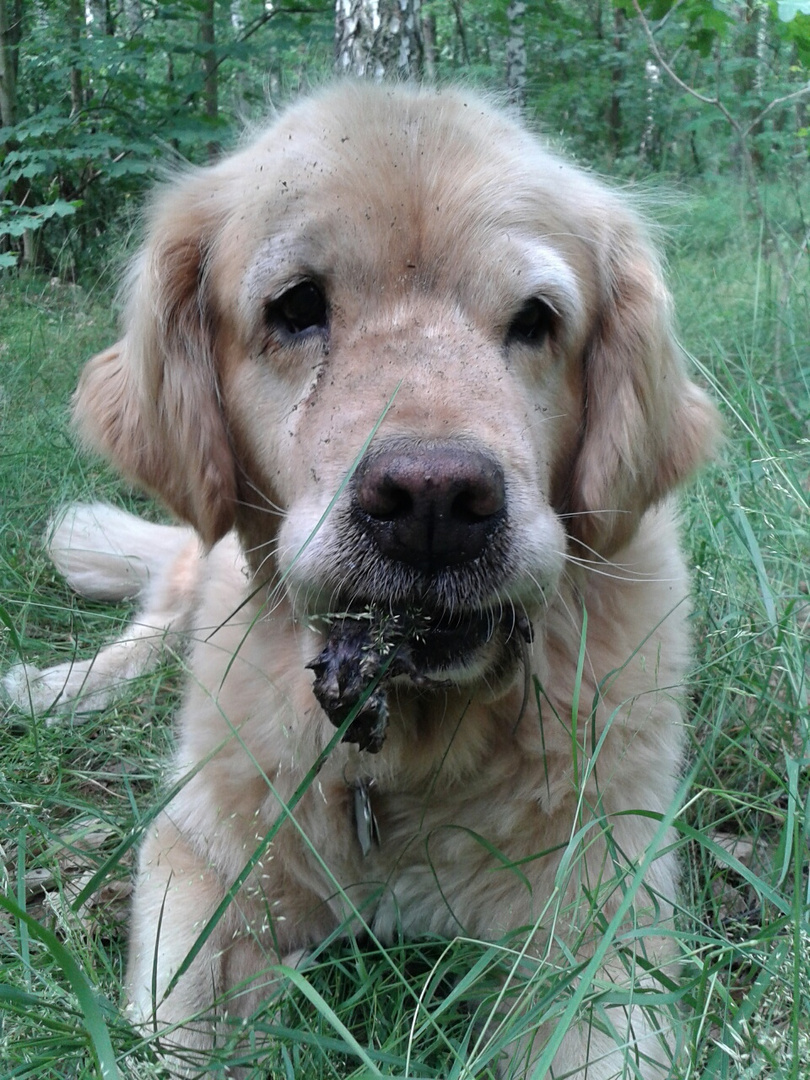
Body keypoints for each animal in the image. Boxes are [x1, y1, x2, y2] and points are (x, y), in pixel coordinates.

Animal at [4, 82, 717, 1071]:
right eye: (297, 305)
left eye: (536, 319)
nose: (433, 502)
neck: (409, 747)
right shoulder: (196, 861)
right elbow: (173, 1032)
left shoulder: (602, 929)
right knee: (151, 627)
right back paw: (52, 688)